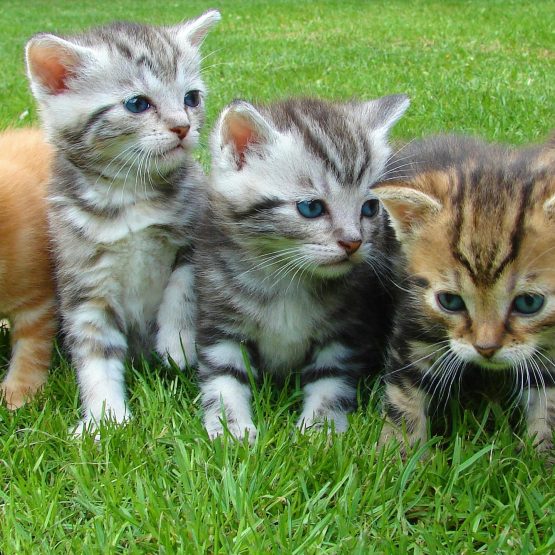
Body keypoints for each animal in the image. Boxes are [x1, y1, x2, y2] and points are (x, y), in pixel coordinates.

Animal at [23, 10, 220, 432]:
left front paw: (178, 341)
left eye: (191, 98)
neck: (128, 197)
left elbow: (183, 285)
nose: (183, 126)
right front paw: (104, 418)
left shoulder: (196, 234)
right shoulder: (84, 284)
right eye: (137, 103)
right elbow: (95, 354)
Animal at [194, 96, 408, 444]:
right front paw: (232, 430)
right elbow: (224, 380)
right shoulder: (220, 321)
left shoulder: (345, 332)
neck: (286, 278)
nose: (353, 242)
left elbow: (330, 381)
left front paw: (319, 431)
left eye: (370, 207)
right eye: (311, 208)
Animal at [372, 136, 555, 456]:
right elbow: (404, 390)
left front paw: (542, 457)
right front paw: (401, 453)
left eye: (529, 303)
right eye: (450, 301)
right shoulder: (414, 317)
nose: (486, 349)